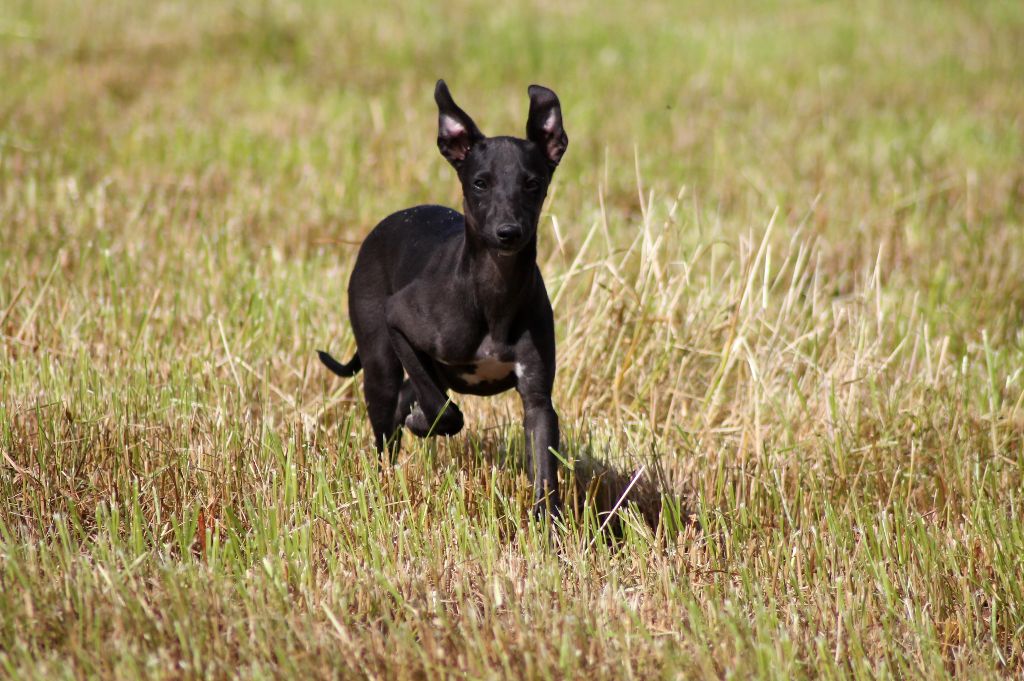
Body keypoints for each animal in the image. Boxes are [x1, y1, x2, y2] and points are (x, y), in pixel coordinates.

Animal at [319, 79, 569, 512]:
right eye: (480, 182)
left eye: (532, 183)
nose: (508, 233)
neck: (492, 294)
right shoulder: (399, 322)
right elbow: (445, 413)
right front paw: (424, 421)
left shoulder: (538, 399)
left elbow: (544, 470)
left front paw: (548, 525)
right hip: (380, 362)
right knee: (390, 418)